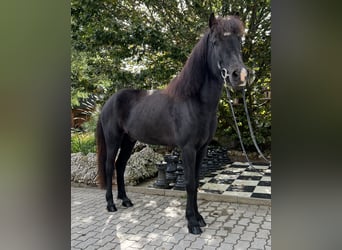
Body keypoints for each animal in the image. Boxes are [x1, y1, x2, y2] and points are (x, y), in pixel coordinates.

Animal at [96, 14, 248, 234]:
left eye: (239, 42)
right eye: (215, 42)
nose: (240, 75)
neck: (194, 101)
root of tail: (108, 101)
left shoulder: (202, 149)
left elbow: (196, 182)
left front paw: (199, 218)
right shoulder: (187, 149)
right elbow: (190, 184)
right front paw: (192, 223)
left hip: (129, 141)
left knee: (121, 165)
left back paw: (125, 200)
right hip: (113, 139)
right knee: (109, 167)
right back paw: (111, 204)